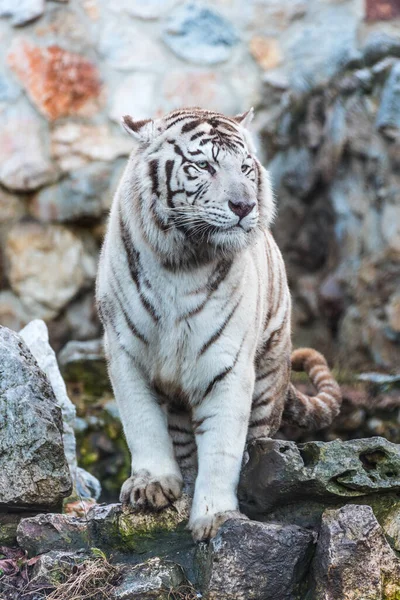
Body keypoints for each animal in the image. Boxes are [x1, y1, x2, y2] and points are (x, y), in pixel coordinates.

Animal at [96, 105, 340, 540]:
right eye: (203, 166)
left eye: (244, 167)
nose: (243, 206)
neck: (179, 260)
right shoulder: (125, 352)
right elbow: (142, 422)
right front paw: (150, 485)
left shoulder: (227, 364)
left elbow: (223, 445)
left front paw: (216, 517)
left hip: (268, 381)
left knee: (253, 439)